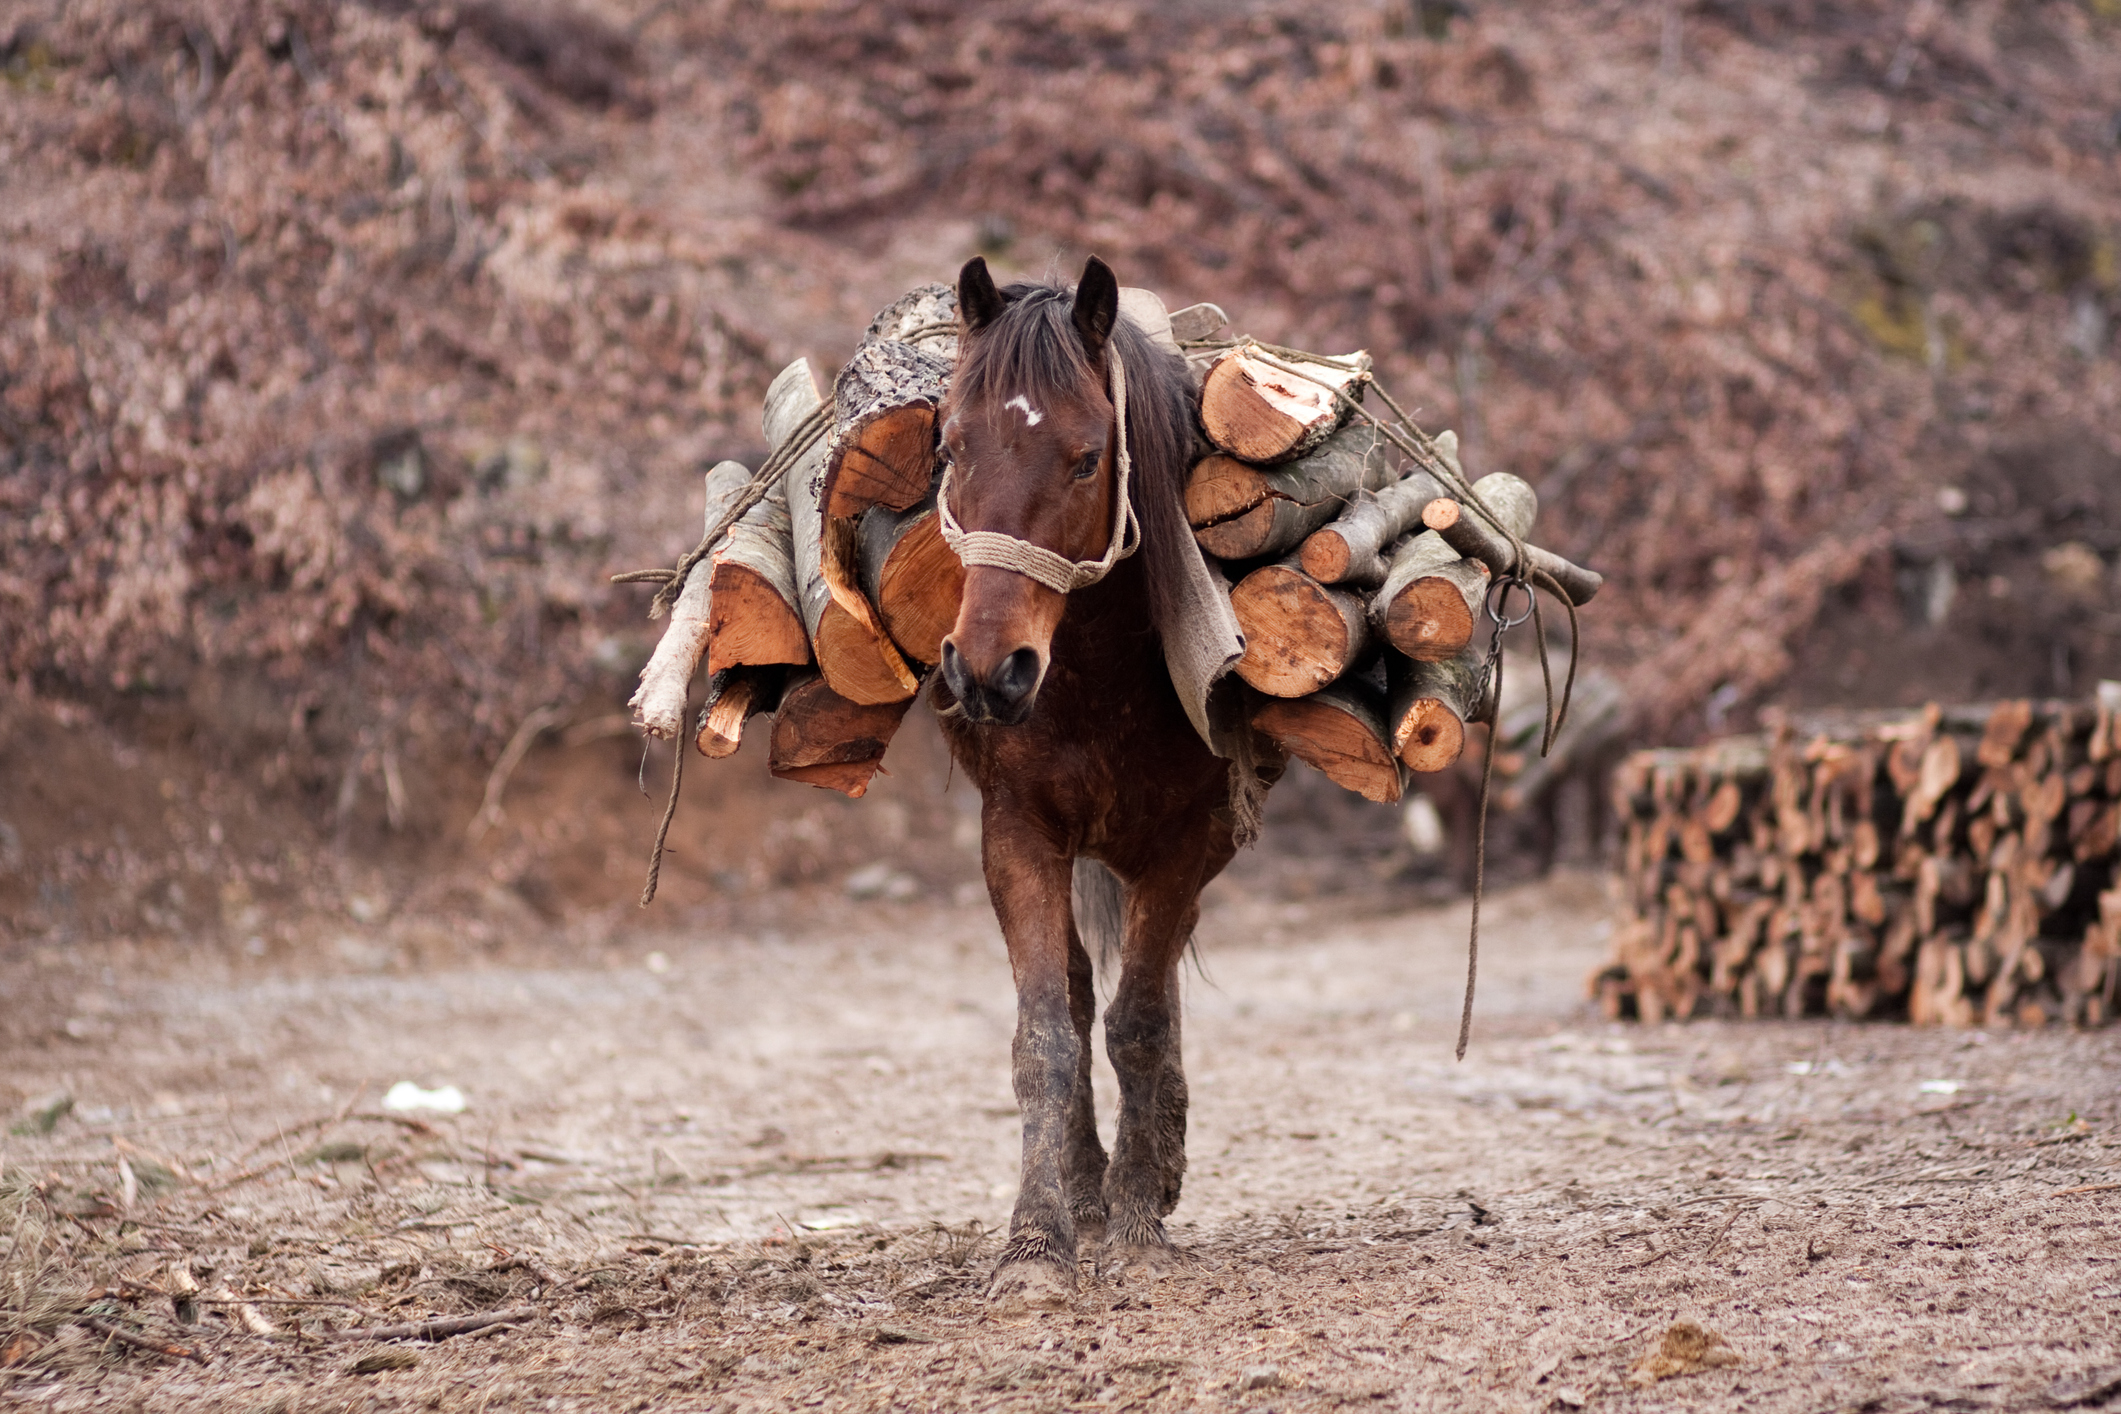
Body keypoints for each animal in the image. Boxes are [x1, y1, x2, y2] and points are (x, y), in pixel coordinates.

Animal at [933, 255, 1280, 1306]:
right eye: (950, 446)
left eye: (1087, 460)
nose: (987, 670)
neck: (1092, 678)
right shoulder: (1015, 837)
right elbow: (1048, 1034)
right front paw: (1038, 1241)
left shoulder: (1188, 842)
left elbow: (1138, 1023)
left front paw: (1135, 1221)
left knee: (1146, 996)